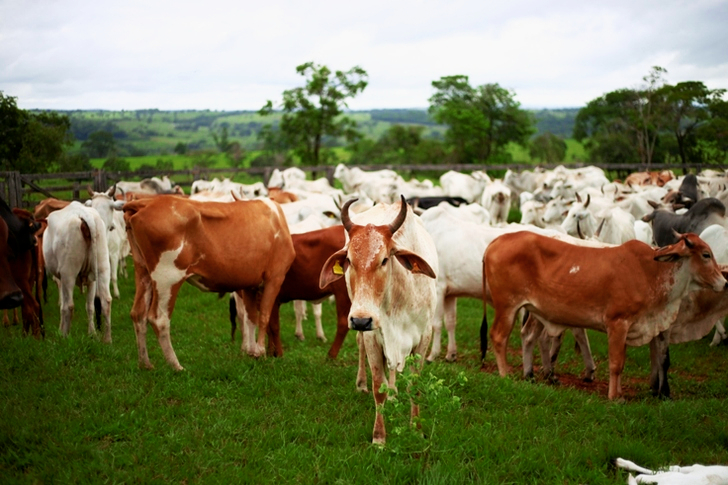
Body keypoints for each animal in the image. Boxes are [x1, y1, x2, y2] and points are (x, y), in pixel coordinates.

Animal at [43, 201, 113, 342]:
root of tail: (83, 213)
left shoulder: (61, 279)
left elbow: (62, 305)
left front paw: (60, 330)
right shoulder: (92, 281)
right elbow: (90, 306)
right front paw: (92, 333)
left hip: (68, 273)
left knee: (69, 306)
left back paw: (65, 337)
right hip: (102, 267)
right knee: (106, 301)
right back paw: (107, 339)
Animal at [123, 195, 295, 369]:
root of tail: (147, 202)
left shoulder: (249, 284)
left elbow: (251, 317)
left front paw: (252, 353)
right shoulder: (275, 277)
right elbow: (264, 316)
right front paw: (261, 352)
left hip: (142, 271)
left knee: (138, 314)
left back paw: (145, 364)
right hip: (167, 277)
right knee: (159, 319)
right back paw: (176, 366)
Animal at [319, 196, 438, 445]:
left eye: (384, 260)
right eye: (349, 260)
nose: (360, 321)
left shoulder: (424, 335)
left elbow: (415, 385)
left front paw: (416, 428)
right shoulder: (373, 335)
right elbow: (378, 387)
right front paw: (379, 437)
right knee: (361, 347)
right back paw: (361, 383)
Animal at [483, 231, 726, 400]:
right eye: (706, 255)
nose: (724, 282)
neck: (651, 273)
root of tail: (497, 241)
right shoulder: (618, 323)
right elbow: (616, 363)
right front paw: (614, 397)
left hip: (531, 310)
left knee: (527, 336)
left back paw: (529, 375)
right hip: (507, 307)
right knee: (498, 337)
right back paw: (505, 374)